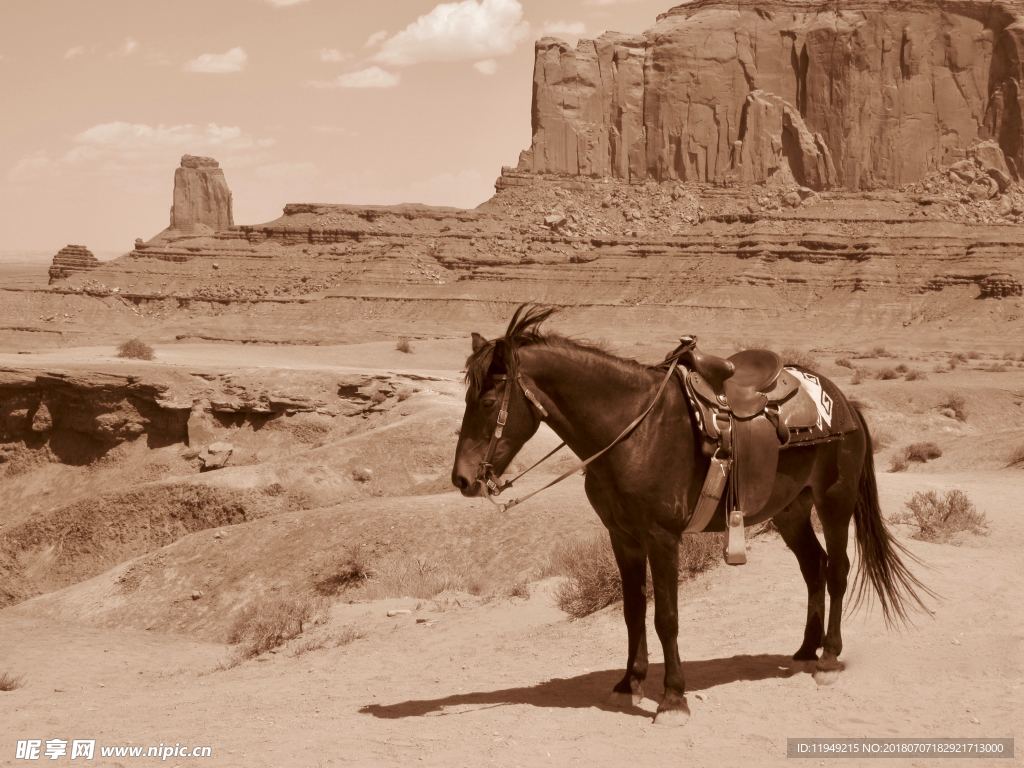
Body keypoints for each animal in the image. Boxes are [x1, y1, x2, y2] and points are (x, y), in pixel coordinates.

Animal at [452, 303, 933, 724]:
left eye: (489, 400)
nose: (462, 479)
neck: (634, 430)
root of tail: (844, 401)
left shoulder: (662, 537)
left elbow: (666, 617)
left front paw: (673, 699)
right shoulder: (622, 536)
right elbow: (632, 610)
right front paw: (629, 683)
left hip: (834, 500)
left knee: (836, 570)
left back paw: (829, 658)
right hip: (790, 511)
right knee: (813, 568)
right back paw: (803, 651)